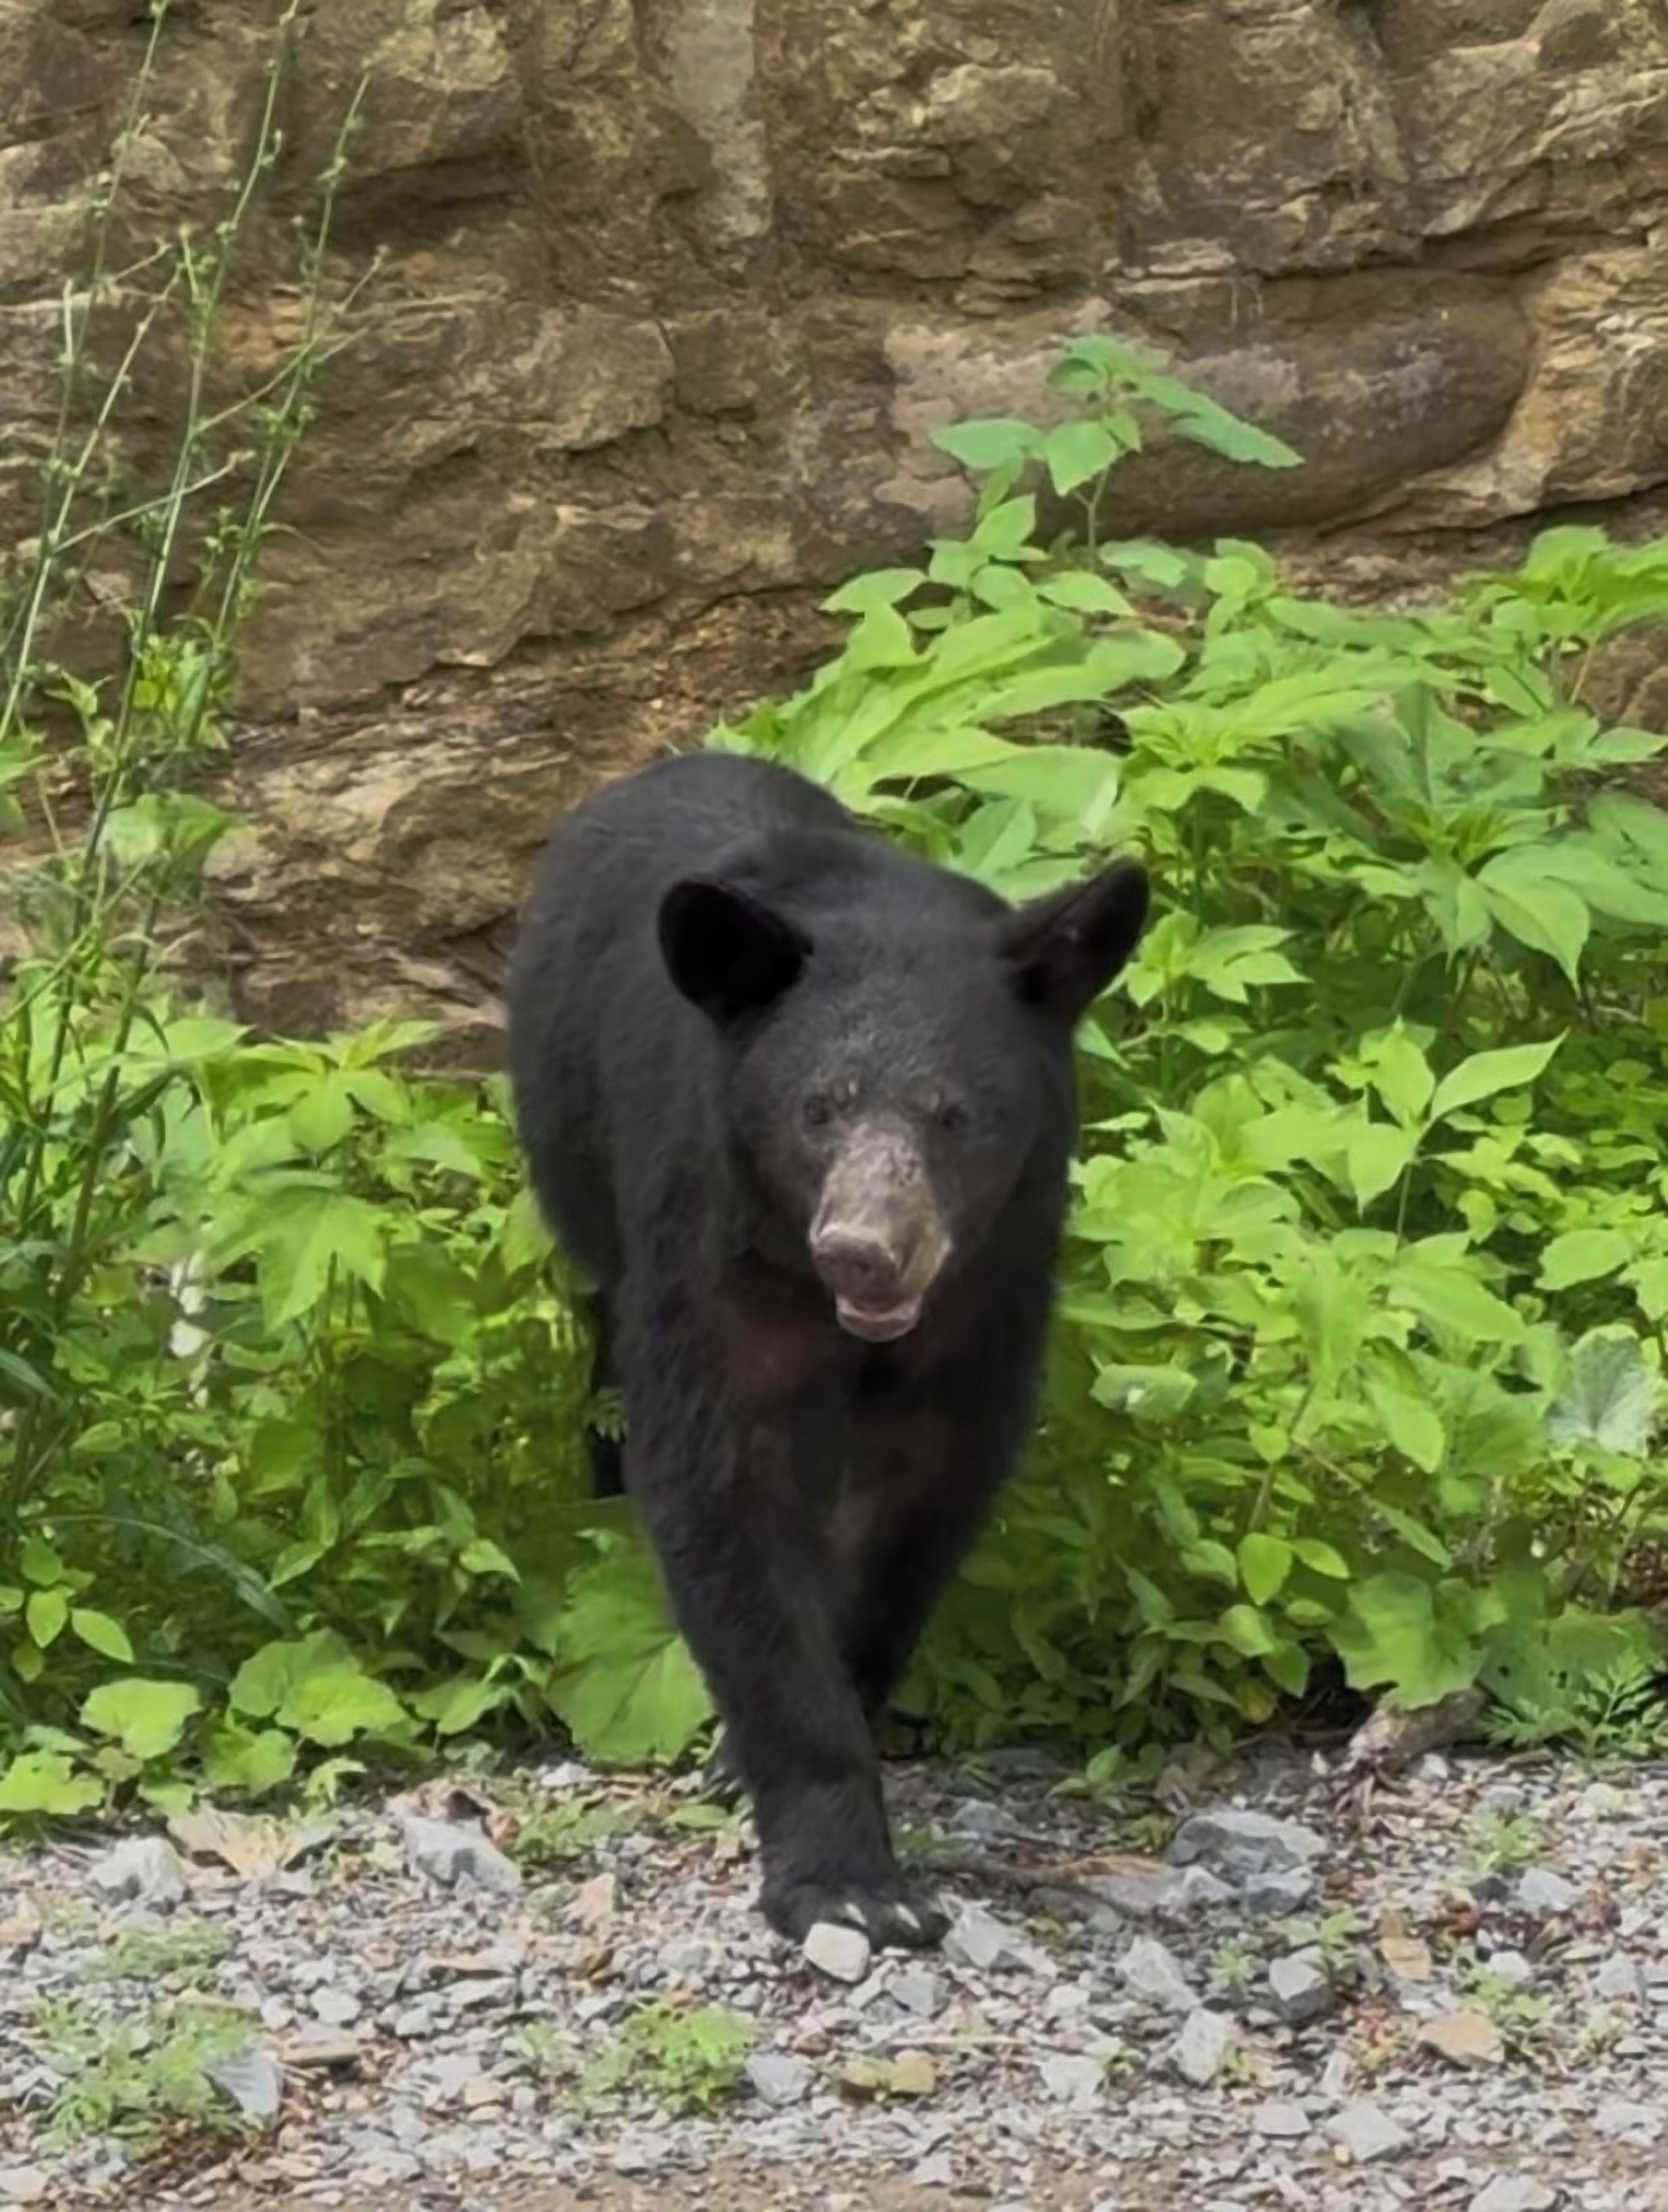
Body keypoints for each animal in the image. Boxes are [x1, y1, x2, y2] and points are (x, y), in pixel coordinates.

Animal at [505, 750, 1149, 1949]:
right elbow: (725, 1494)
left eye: (954, 1112)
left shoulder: (992, 1289)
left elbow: (912, 1510)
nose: (865, 1250)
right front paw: (847, 1877)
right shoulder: (716, 1239)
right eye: (819, 1108)